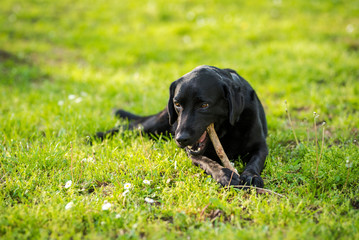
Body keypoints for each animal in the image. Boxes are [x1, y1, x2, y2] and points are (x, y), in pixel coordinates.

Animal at [97, 65, 268, 188]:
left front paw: (251, 175)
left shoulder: (261, 145)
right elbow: (207, 161)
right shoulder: (191, 151)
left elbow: (255, 161)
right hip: (157, 124)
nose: (180, 139)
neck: (226, 131)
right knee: (128, 127)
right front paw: (224, 174)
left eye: (204, 105)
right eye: (177, 104)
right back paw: (96, 136)